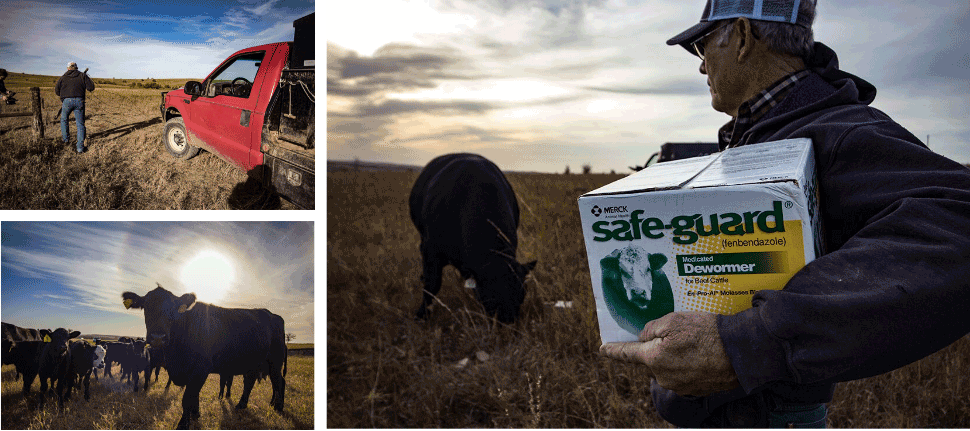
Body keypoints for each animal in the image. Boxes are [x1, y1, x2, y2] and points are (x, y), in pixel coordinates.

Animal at [123, 286, 286, 430]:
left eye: (174, 309)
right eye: (146, 307)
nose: (158, 337)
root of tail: (272, 314)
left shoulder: (201, 368)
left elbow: (188, 397)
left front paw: (183, 424)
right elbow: (194, 395)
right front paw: (195, 414)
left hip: (275, 361)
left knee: (279, 382)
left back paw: (278, 407)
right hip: (253, 363)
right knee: (250, 382)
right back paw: (242, 405)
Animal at [408, 154, 536, 322]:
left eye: (522, 296)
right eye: (489, 298)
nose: (506, 323)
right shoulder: (430, 251)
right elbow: (432, 285)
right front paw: (422, 314)